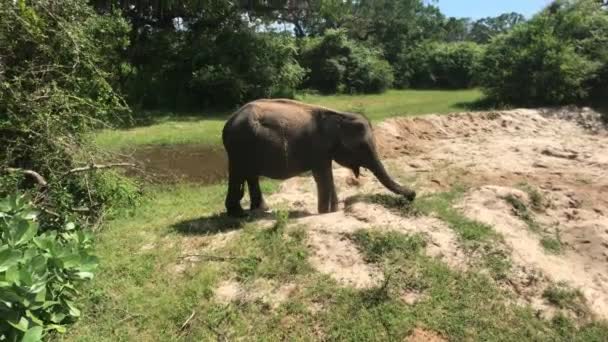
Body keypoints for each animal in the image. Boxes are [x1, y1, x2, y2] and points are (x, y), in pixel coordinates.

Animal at [221, 98, 416, 216]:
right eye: (361, 147)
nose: (413, 195)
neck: (339, 115)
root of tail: (228, 121)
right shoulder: (318, 149)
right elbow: (322, 176)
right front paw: (325, 213)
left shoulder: (325, 152)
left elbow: (327, 174)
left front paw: (333, 211)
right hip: (239, 147)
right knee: (238, 174)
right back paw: (238, 214)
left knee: (250, 175)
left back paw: (260, 211)